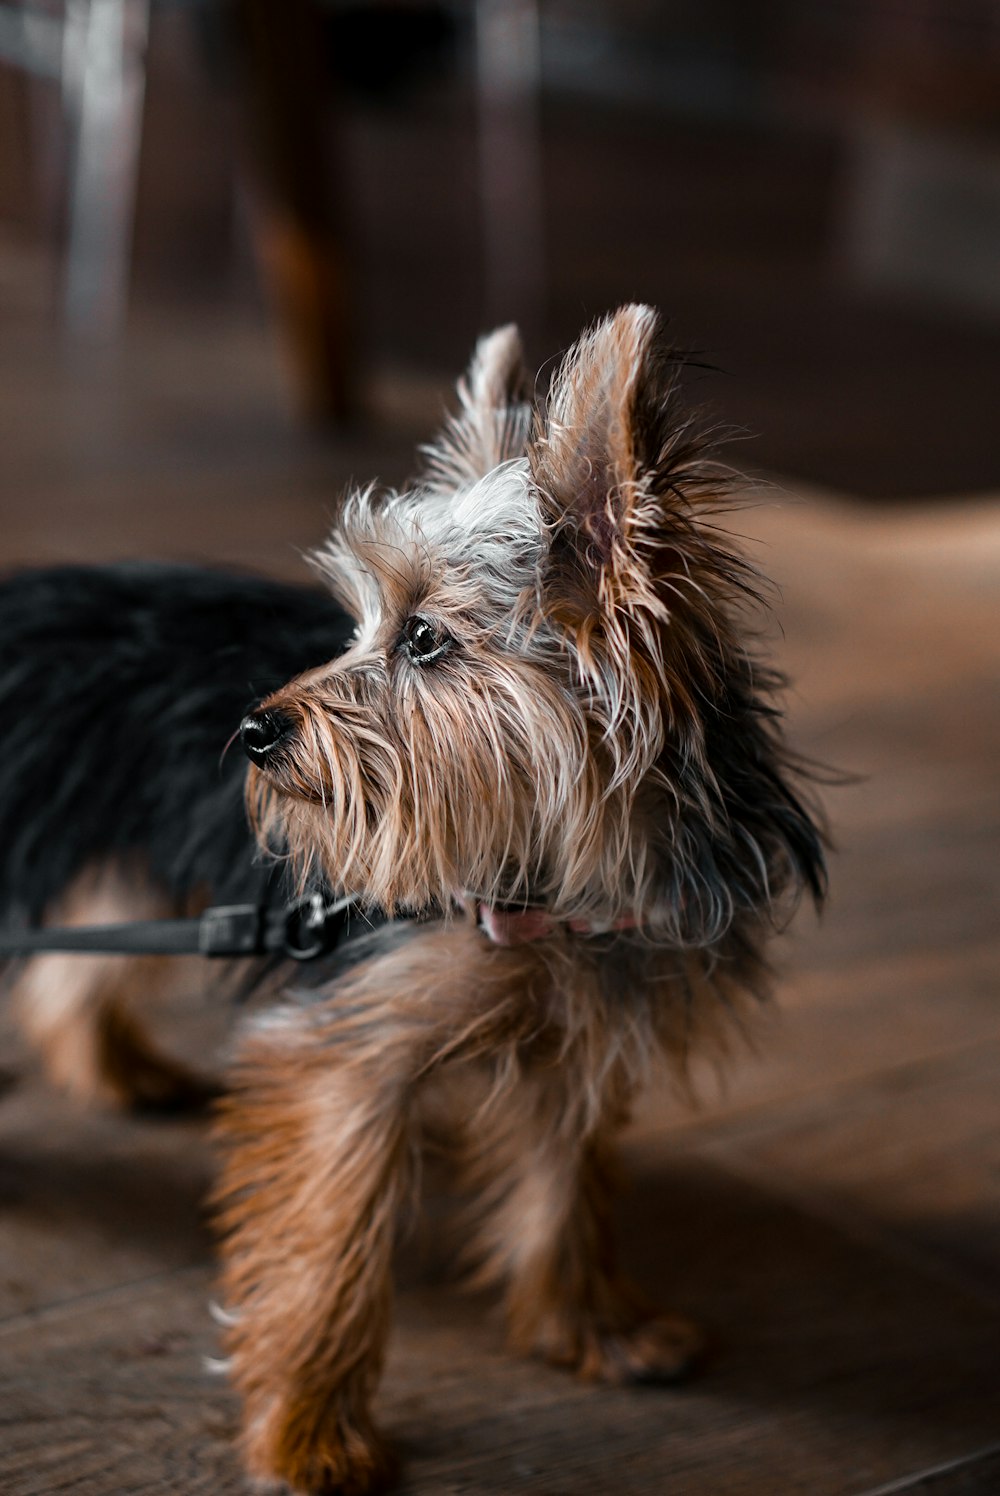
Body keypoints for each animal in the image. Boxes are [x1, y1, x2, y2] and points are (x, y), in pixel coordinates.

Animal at [3, 306, 826, 1496]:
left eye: (425, 639)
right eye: (356, 625)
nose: (254, 730)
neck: (555, 880)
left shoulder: (585, 1026)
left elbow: (566, 1183)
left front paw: (594, 1328)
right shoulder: (348, 1053)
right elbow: (330, 1251)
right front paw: (307, 1436)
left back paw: (117, 1067)